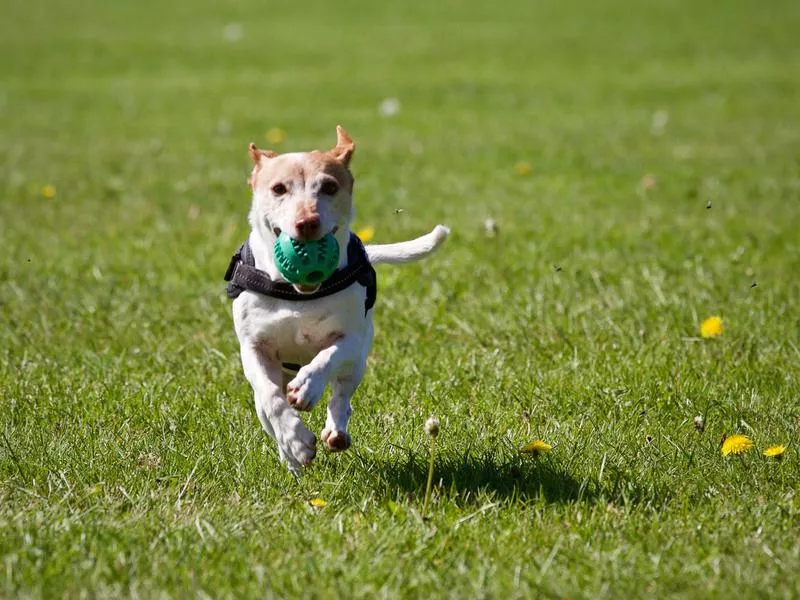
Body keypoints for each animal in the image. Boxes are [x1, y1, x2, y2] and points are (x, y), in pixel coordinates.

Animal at [225, 126, 450, 472]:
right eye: (278, 188)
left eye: (329, 186)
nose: (307, 222)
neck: (298, 294)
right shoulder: (253, 348)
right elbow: (272, 399)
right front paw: (296, 441)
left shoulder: (352, 339)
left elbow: (327, 358)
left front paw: (307, 387)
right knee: (267, 407)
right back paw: (290, 458)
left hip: (358, 362)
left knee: (342, 394)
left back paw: (335, 430)